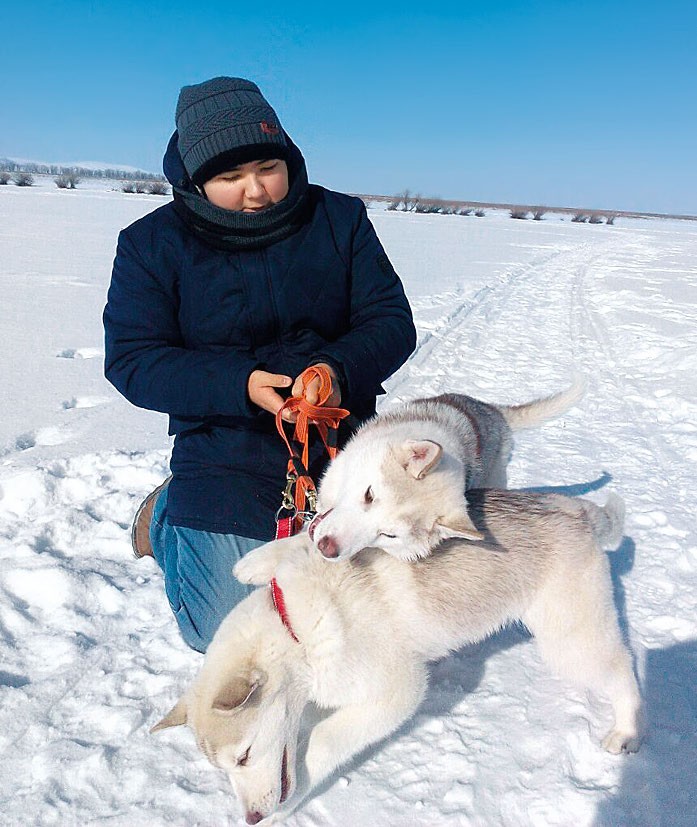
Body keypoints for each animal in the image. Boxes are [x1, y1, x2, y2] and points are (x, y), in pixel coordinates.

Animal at [152, 489, 642, 824]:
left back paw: (627, 730)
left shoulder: (397, 692)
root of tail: (578, 510)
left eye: (244, 757)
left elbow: (324, 741)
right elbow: (307, 539)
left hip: (570, 642)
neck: (296, 630)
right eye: (222, 767)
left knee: (623, 669)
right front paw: (257, 563)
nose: (251, 818)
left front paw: (293, 800)